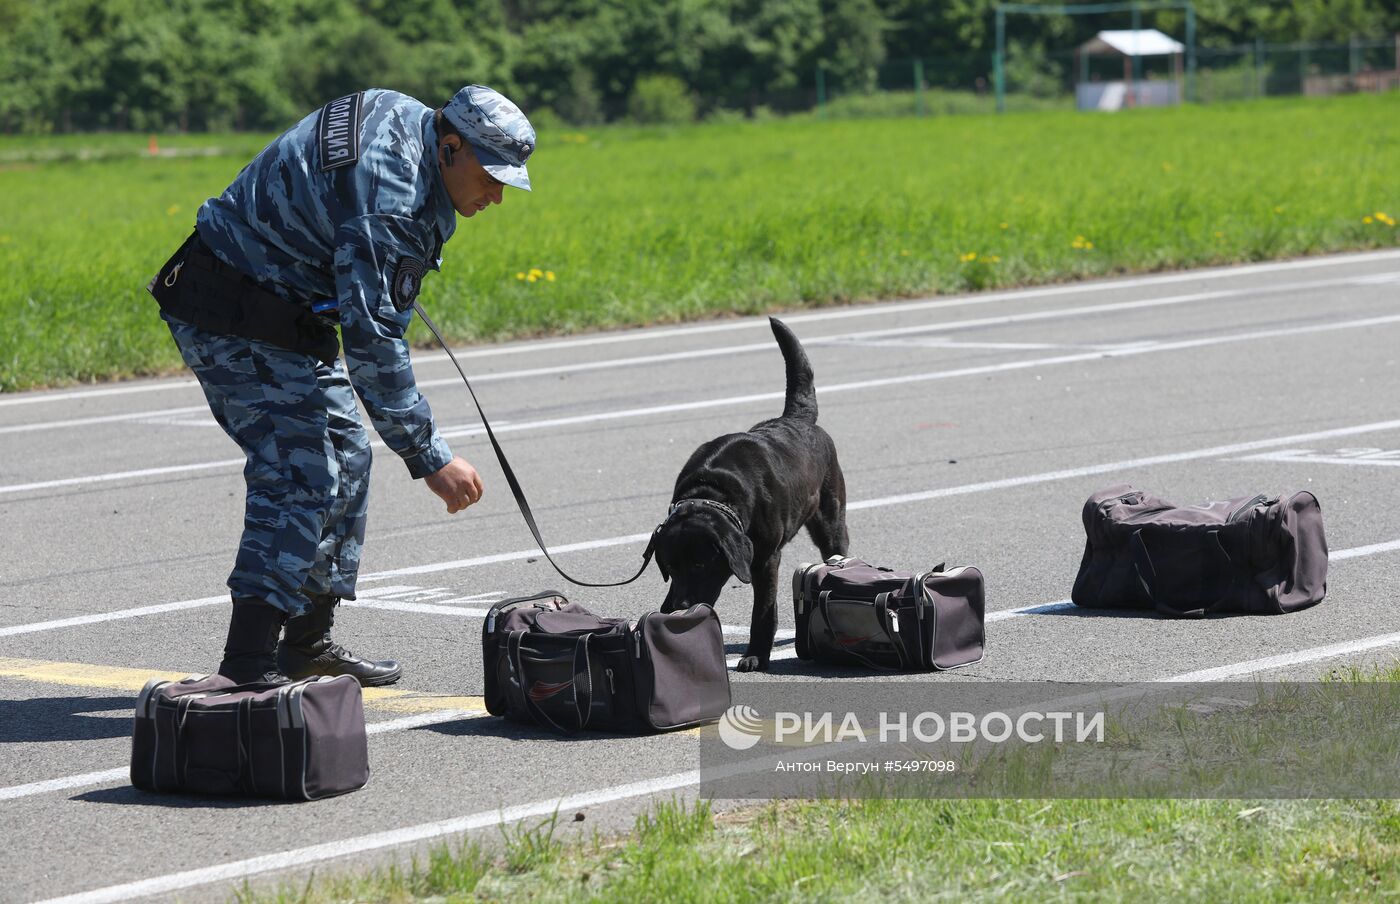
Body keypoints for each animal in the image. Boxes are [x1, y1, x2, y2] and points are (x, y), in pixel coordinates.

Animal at [652, 320, 845, 671]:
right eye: (670, 567)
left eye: (699, 564)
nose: (677, 607)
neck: (714, 491)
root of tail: (796, 419)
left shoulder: (765, 558)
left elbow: (763, 610)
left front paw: (756, 653)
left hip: (830, 520)